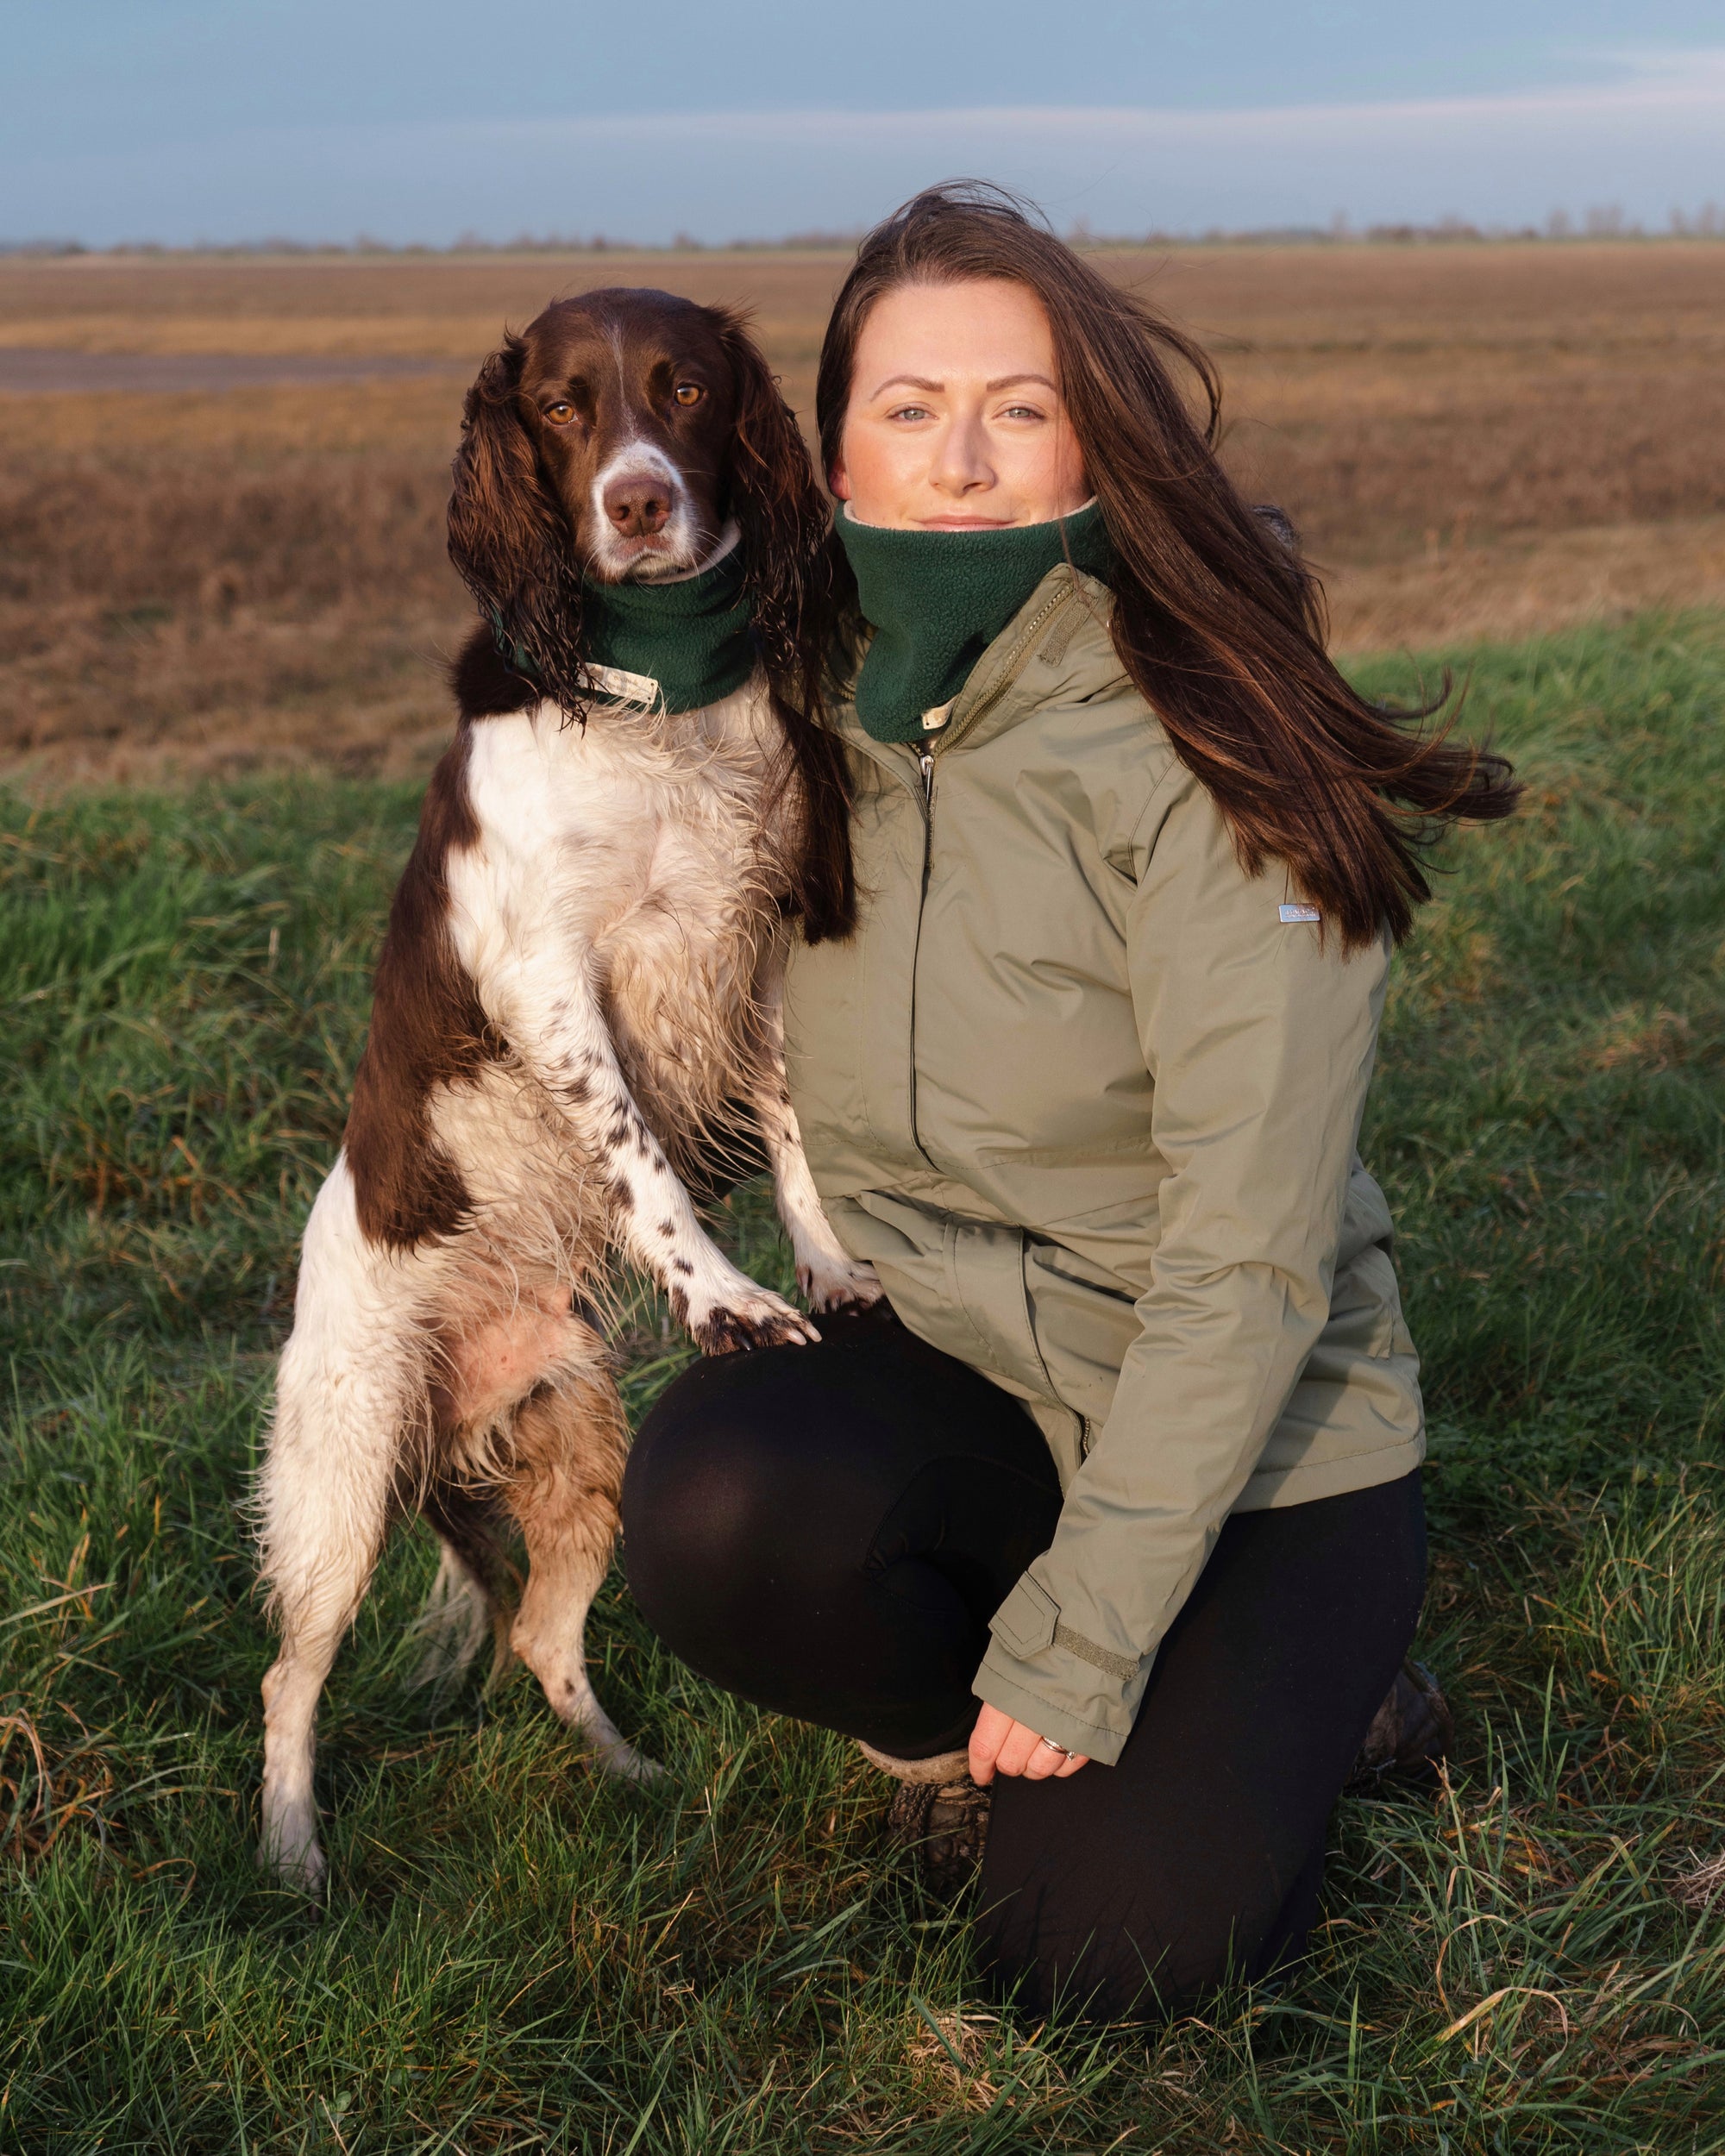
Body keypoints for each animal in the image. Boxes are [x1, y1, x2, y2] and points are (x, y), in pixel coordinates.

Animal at [257, 286, 884, 1889]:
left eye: (687, 387)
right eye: (557, 406)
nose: (640, 501)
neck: (654, 701)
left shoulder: (754, 943)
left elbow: (798, 1133)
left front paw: (832, 1267)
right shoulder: (549, 974)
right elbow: (640, 1158)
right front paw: (729, 1301)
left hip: (580, 1452)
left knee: (544, 1640)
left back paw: (631, 1776)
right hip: (345, 1471)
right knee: (291, 1674)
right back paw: (293, 1859)